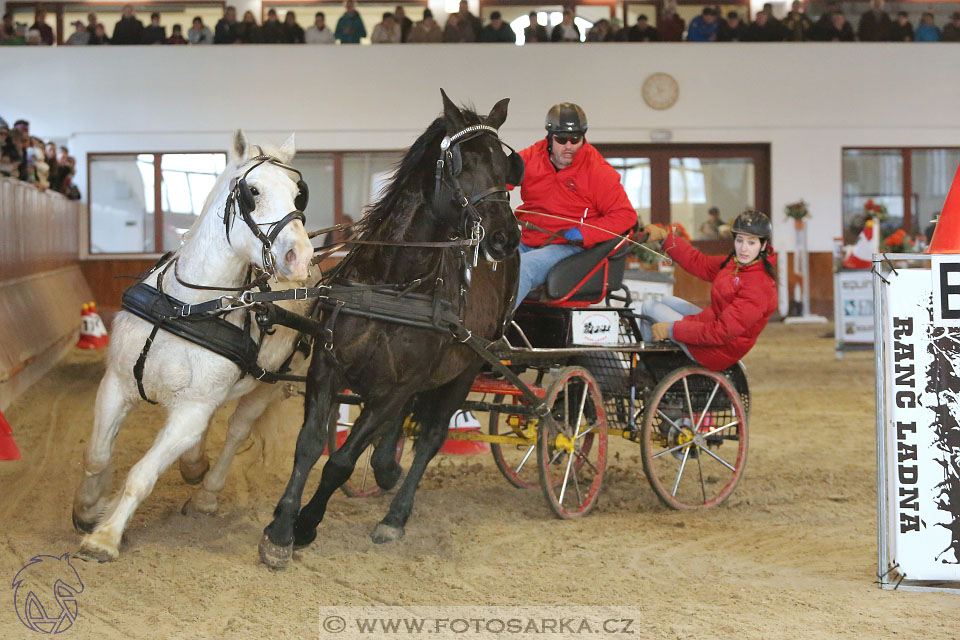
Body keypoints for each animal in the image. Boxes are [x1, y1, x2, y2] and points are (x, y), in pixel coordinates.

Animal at [76, 130, 316, 560]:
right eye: (253, 191)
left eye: (296, 194)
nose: (299, 256)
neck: (187, 308)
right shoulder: (116, 384)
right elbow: (97, 454)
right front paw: (88, 508)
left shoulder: (191, 412)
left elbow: (142, 475)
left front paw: (105, 536)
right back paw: (192, 465)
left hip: (267, 386)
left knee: (236, 431)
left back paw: (206, 494)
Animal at [258, 92, 520, 568]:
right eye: (463, 162)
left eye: (503, 164)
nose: (505, 237)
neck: (394, 281)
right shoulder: (326, 368)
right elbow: (309, 446)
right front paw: (281, 528)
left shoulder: (398, 387)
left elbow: (341, 460)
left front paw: (305, 525)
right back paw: (385, 467)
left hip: (467, 368)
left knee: (431, 438)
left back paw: (395, 516)